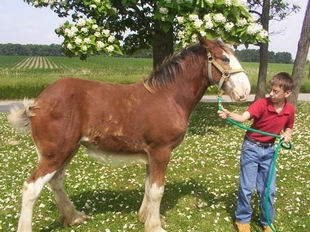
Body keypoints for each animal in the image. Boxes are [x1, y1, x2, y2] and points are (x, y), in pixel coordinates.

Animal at [8, 35, 251, 232]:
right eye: (224, 58)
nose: (245, 91)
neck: (169, 97)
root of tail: (37, 103)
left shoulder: (151, 153)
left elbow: (149, 186)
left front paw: (145, 217)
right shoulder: (161, 151)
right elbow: (157, 190)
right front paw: (155, 226)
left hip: (66, 151)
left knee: (56, 181)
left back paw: (73, 217)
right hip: (55, 154)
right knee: (31, 188)